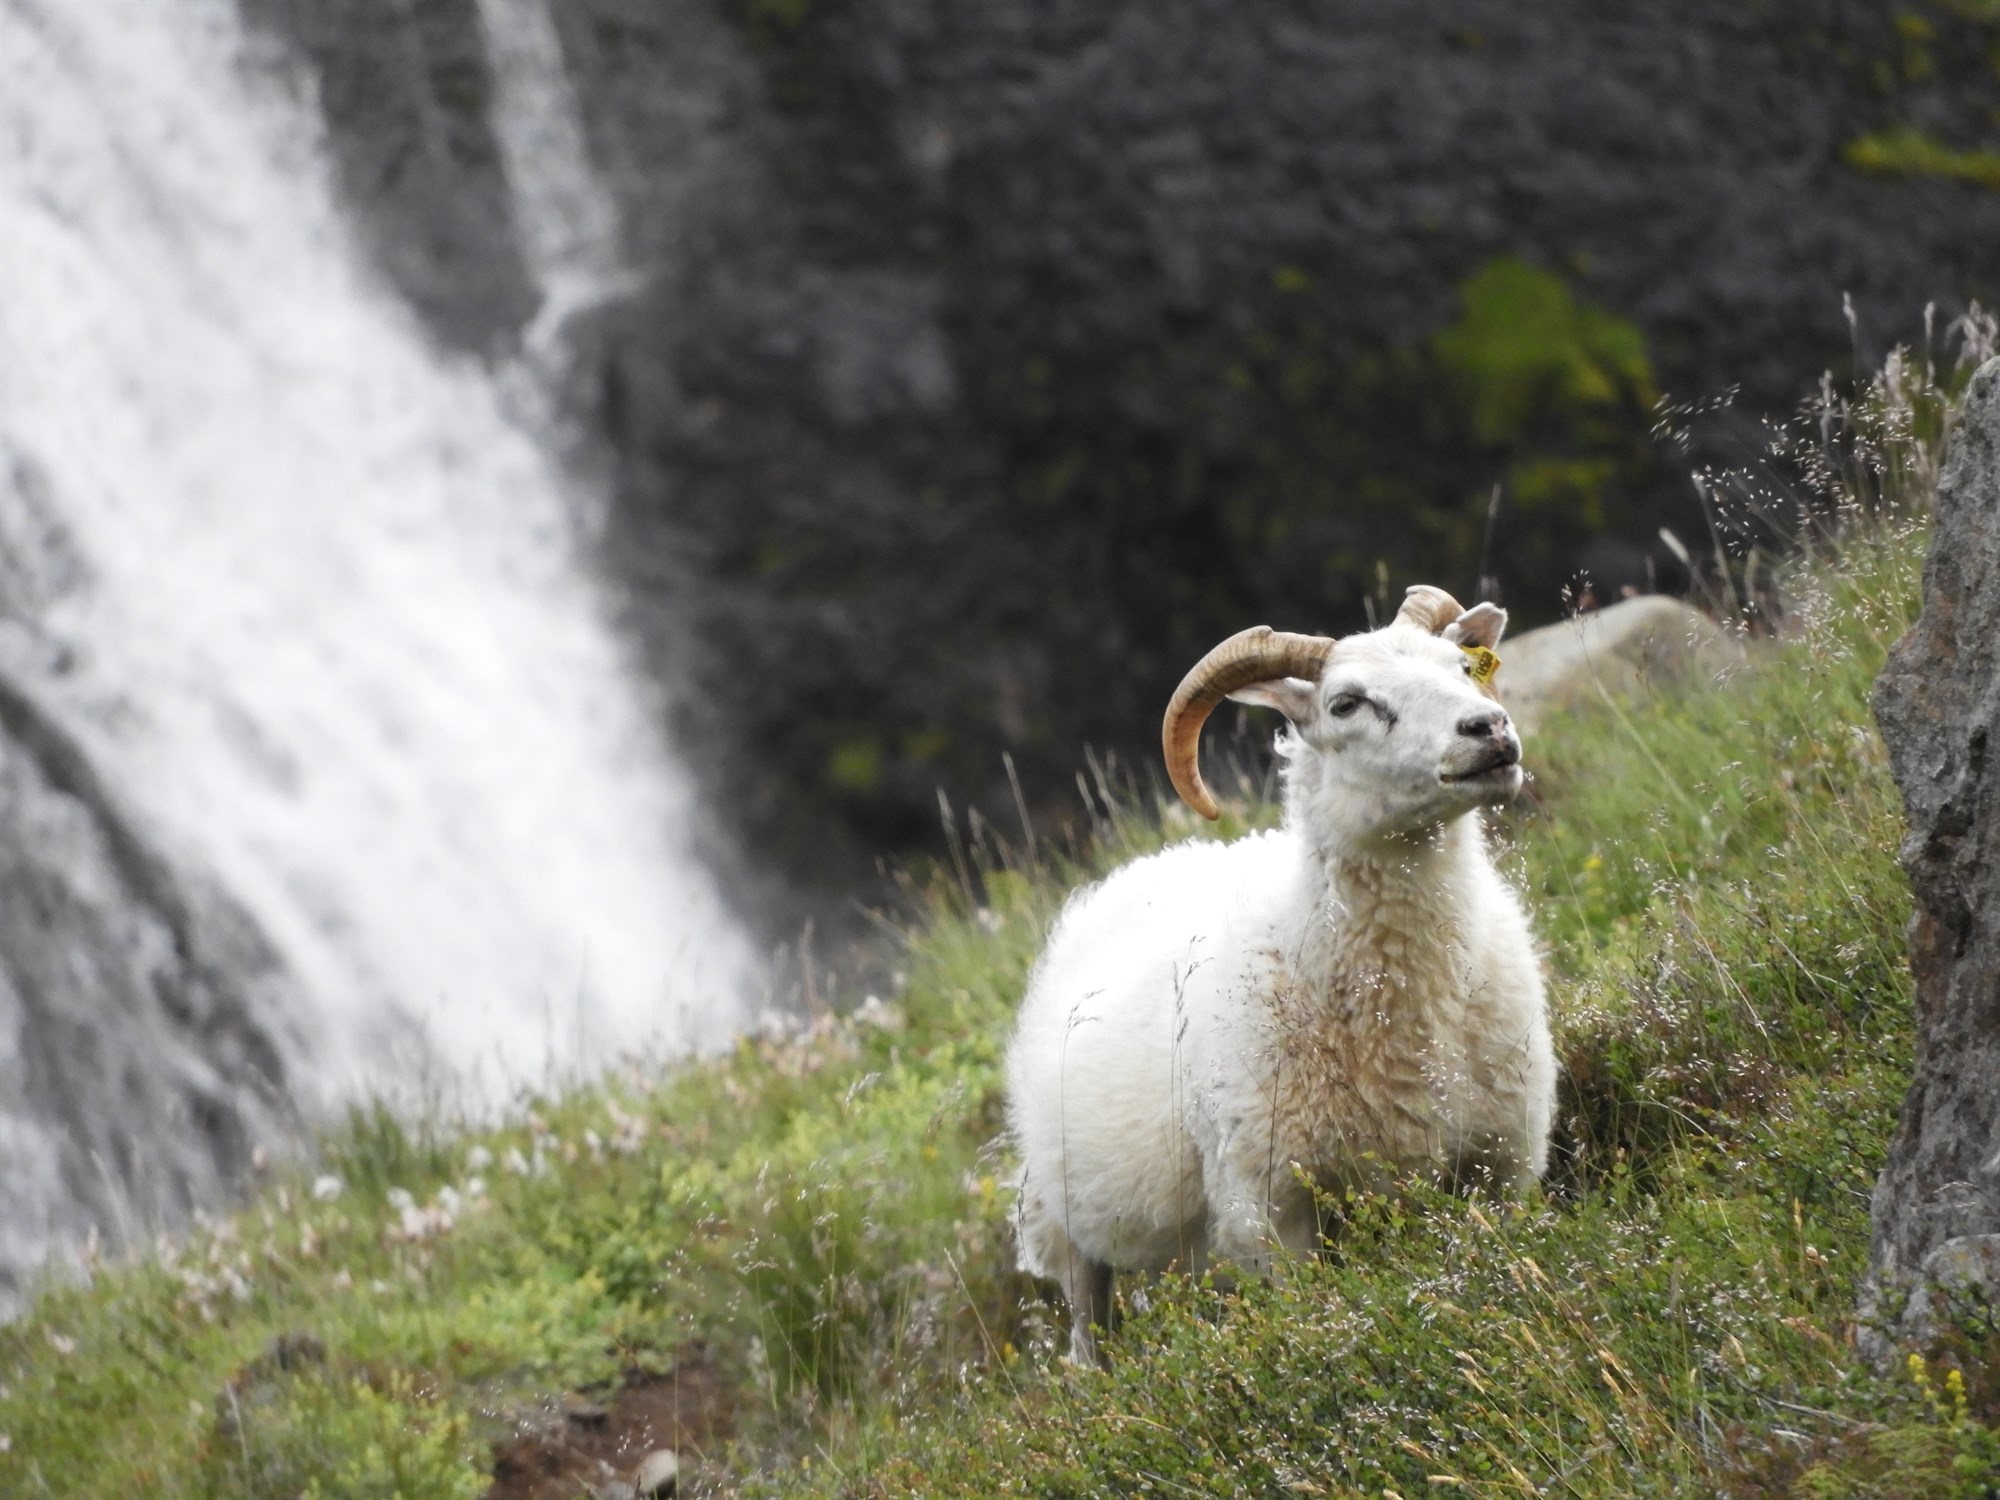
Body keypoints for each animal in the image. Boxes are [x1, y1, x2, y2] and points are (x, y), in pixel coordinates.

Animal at [1006, 585, 1555, 1364]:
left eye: (1462, 666)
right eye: (1346, 703)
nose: (1489, 728)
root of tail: (1154, 860)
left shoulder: (1504, 1162)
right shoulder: (1270, 1207)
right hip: (1065, 1218)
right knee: (1088, 1328)